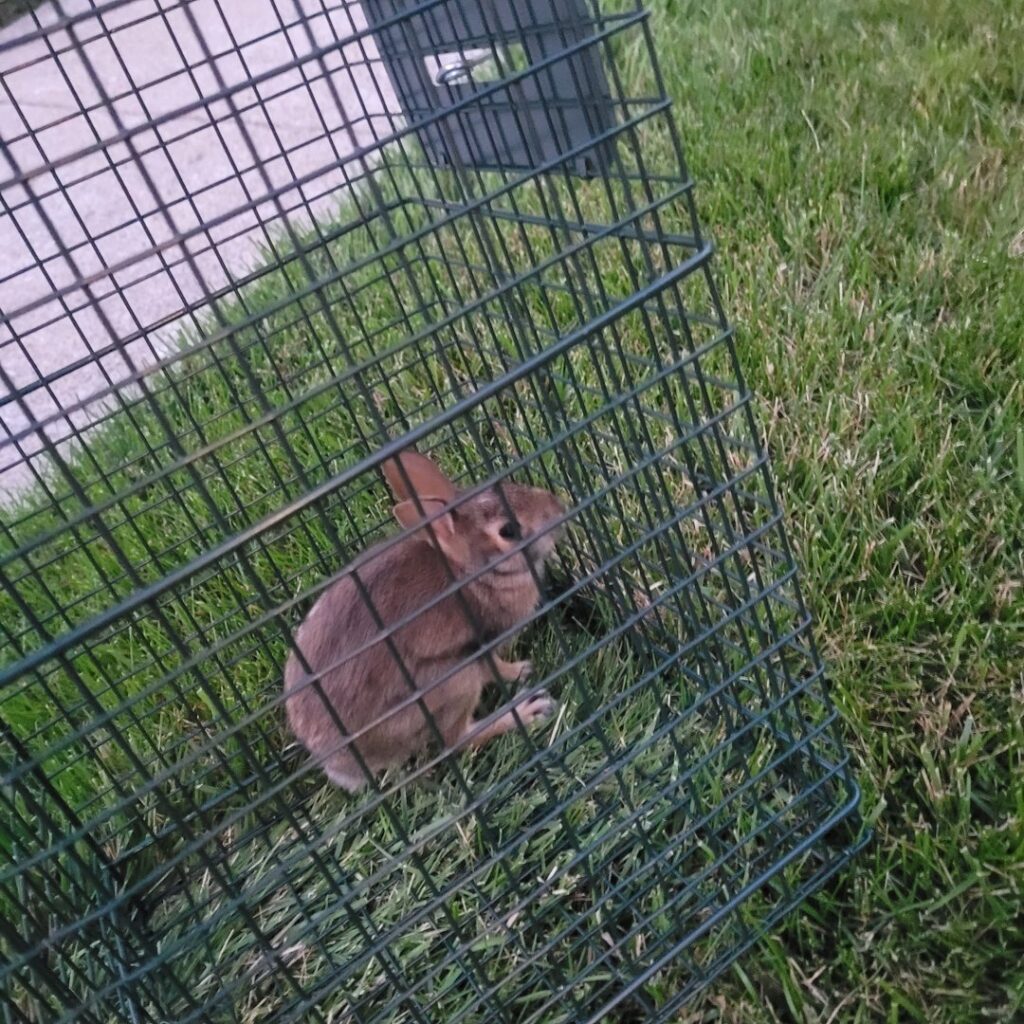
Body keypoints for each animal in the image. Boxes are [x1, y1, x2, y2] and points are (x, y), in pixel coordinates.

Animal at [283, 448, 567, 792]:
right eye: (508, 531)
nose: (560, 508)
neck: (470, 571)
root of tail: (342, 764)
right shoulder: (481, 646)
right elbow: (496, 668)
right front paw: (522, 671)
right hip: (452, 683)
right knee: (457, 741)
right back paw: (527, 711)